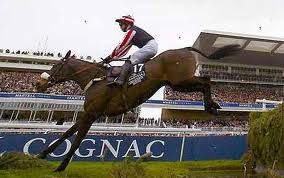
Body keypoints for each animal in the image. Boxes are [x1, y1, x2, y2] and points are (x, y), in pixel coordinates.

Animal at [35, 44, 240, 171]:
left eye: (55, 66)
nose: (39, 83)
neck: (95, 80)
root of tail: (184, 48)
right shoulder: (88, 113)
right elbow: (66, 133)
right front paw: (41, 154)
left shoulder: (91, 114)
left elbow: (76, 140)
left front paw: (61, 166)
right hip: (178, 84)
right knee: (206, 82)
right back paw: (212, 106)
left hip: (180, 81)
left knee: (206, 80)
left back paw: (211, 106)